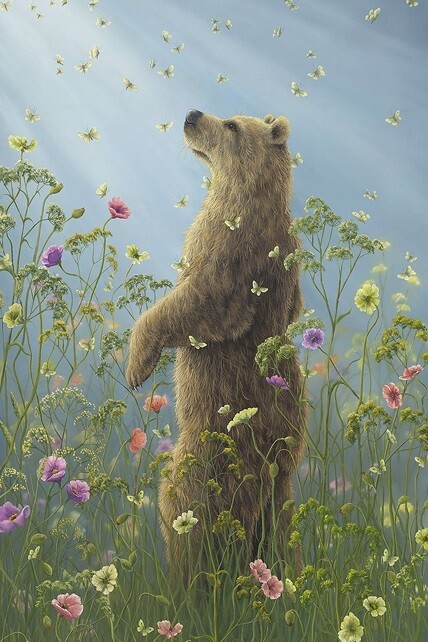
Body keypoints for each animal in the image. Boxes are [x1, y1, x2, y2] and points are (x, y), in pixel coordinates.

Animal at [126, 109, 306, 580]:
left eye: (231, 125)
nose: (192, 115)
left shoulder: (228, 240)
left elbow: (201, 300)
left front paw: (136, 364)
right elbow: (292, 306)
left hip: (207, 464)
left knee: (187, 517)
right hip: (281, 488)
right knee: (283, 535)